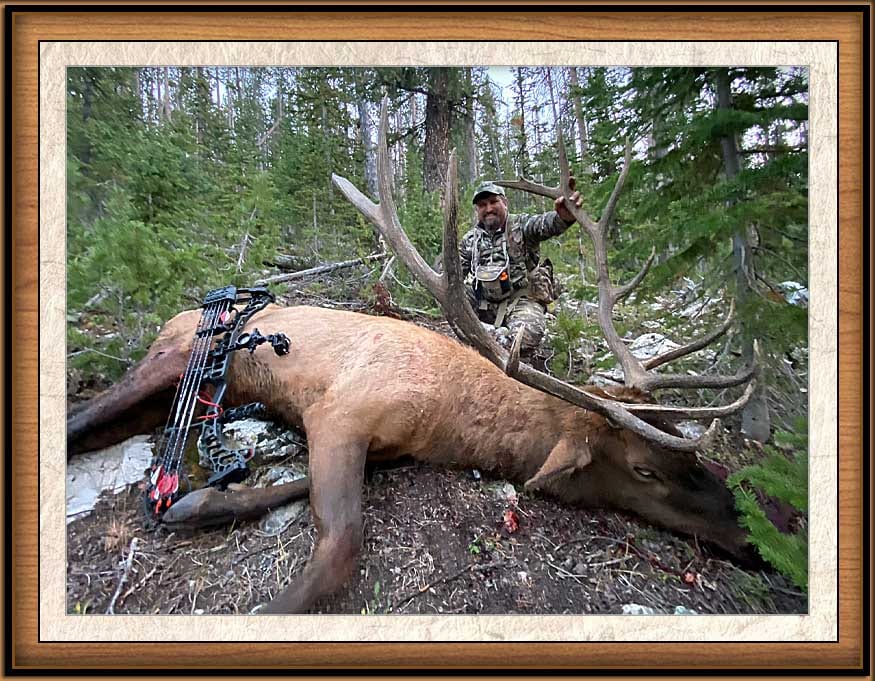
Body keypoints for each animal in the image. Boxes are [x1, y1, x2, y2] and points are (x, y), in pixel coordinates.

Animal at [66, 99, 761, 614]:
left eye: (689, 452)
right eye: (645, 469)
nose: (753, 535)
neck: (448, 421)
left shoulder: (378, 445)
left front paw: (199, 504)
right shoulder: (342, 412)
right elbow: (339, 545)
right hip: (177, 356)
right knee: (83, 419)